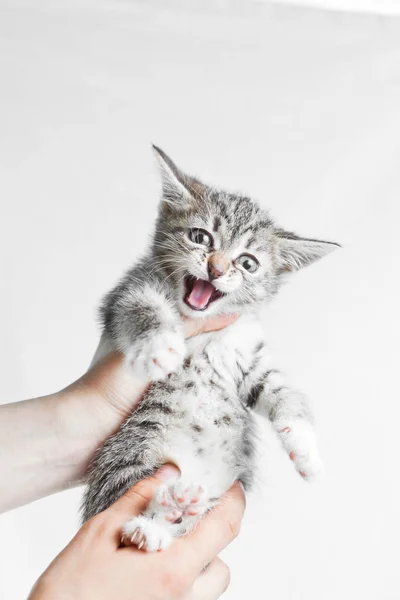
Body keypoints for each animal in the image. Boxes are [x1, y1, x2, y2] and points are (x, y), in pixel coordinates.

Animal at [83, 148, 340, 552]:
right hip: (132, 451)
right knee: (125, 504)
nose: (216, 269)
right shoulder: (127, 292)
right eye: (200, 237)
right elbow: (141, 309)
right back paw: (154, 521)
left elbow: (281, 389)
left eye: (247, 262)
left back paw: (171, 514)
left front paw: (305, 449)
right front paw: (159, 345)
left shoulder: (248, 357)